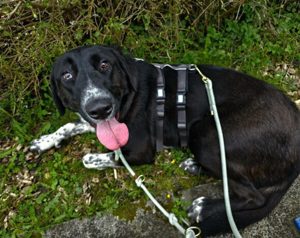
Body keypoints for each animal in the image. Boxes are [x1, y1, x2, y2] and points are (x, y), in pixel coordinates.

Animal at [31, 45, 300, 236]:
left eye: (105, 65)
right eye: (66, 75)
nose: (100, 108)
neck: (128, 93)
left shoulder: (139, 149)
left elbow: (92, 158)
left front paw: (88, 154)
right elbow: (70, 124)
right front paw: (44, 141)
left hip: (207, 133)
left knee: (255, 196)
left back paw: (204, 207)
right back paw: (193, 166)